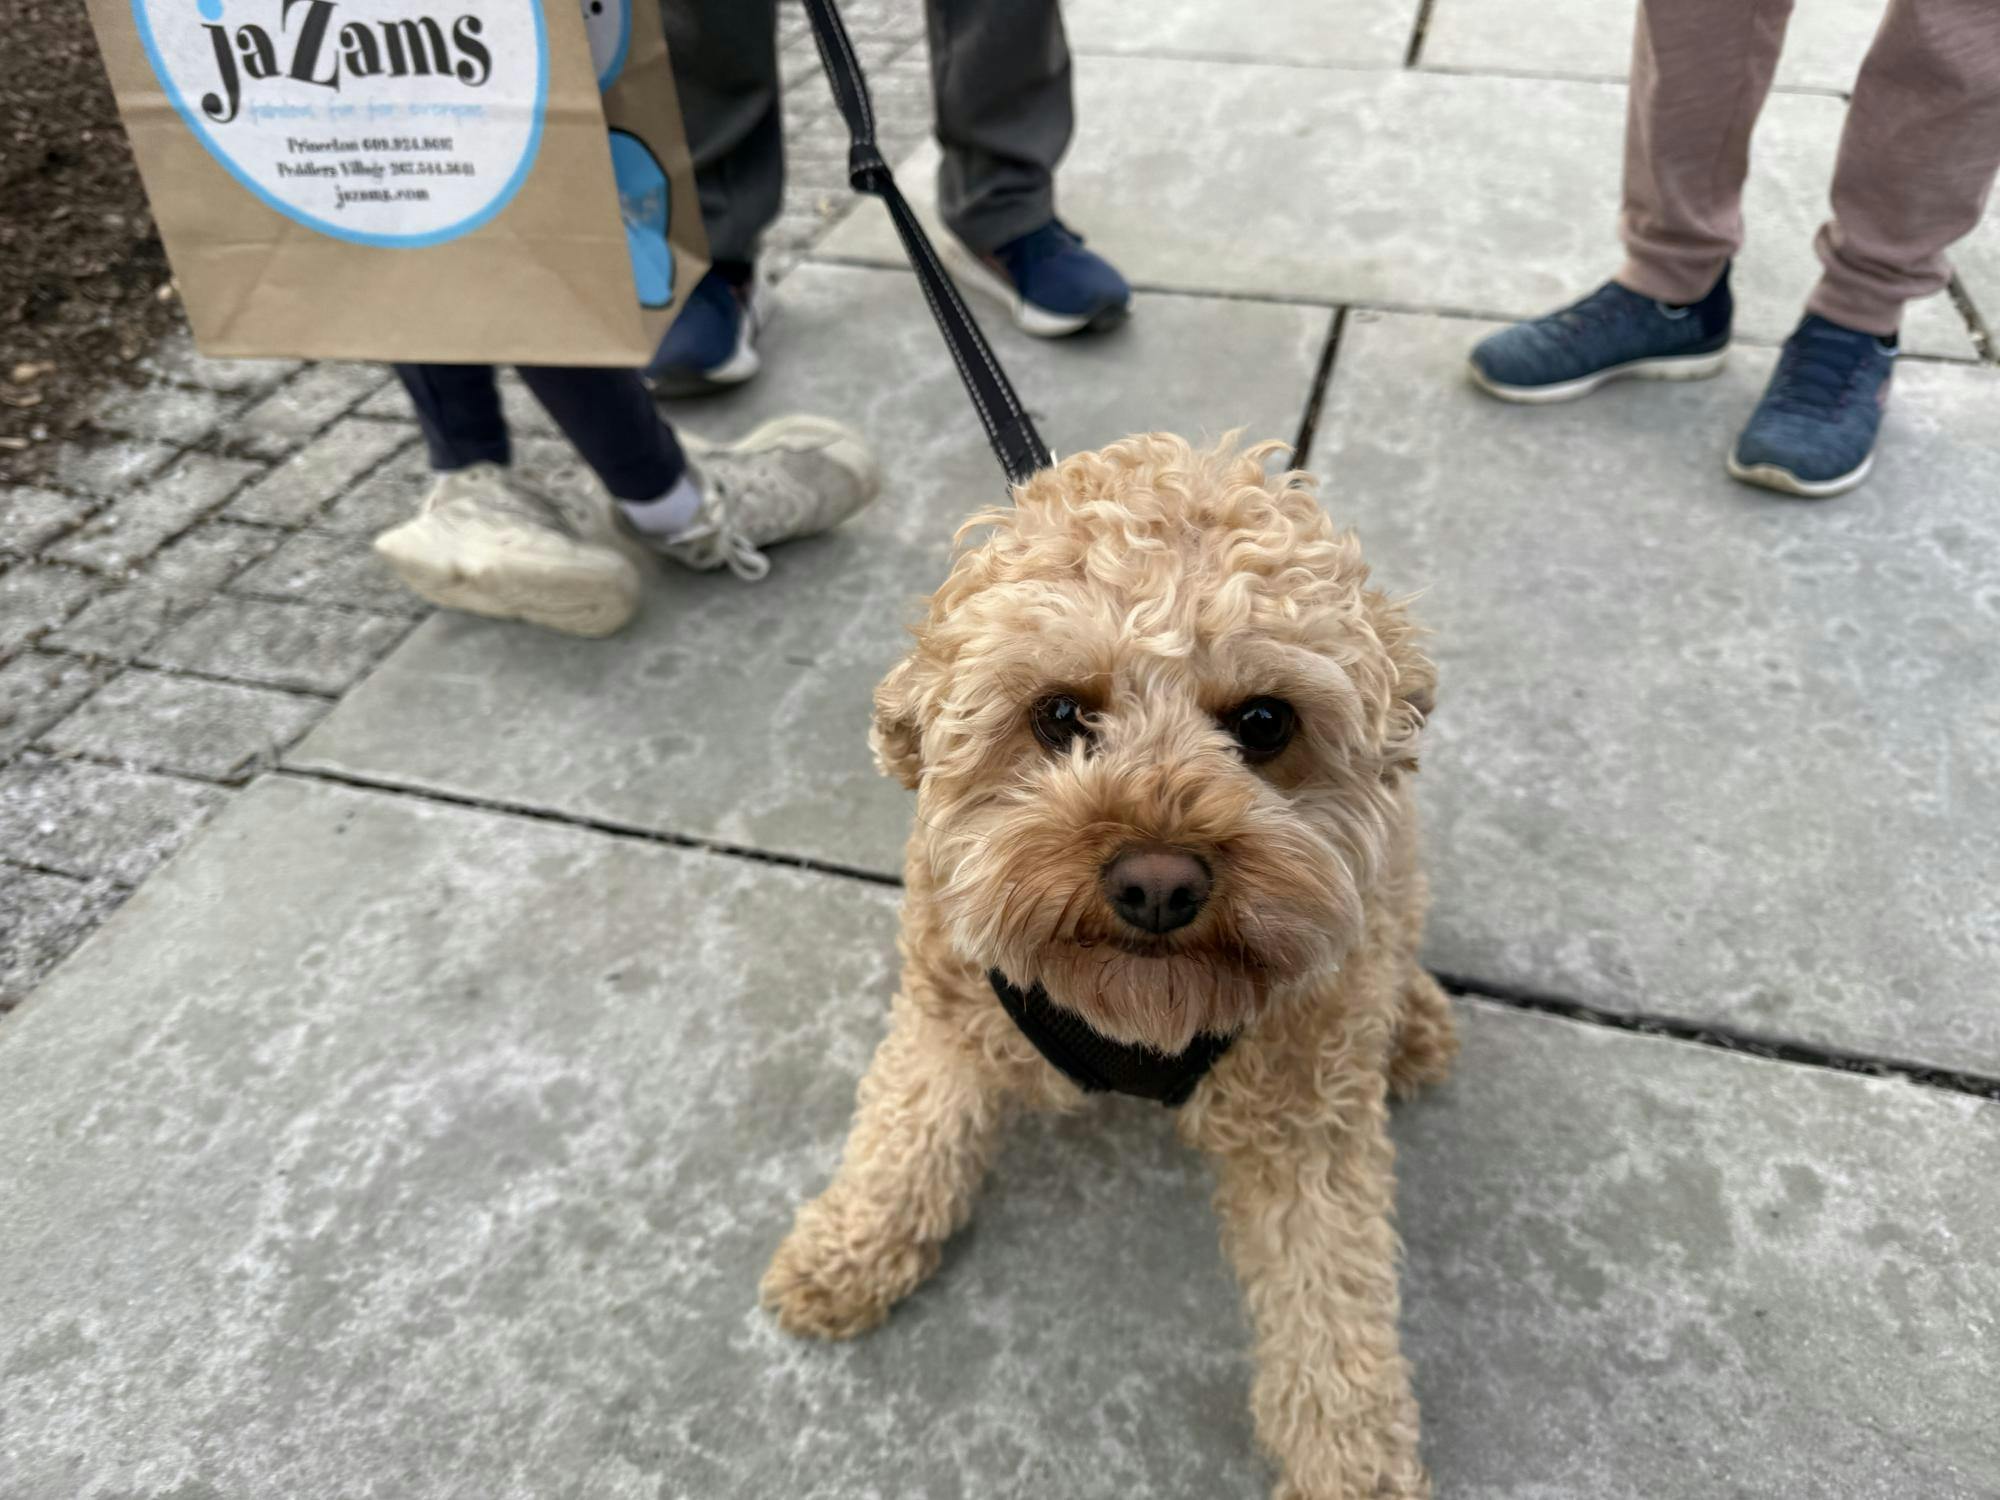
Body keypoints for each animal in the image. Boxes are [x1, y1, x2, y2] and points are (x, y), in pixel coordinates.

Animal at [760, 428, 1456, 1496]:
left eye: (1265, 722)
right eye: (1059, 715)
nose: (1157, 883)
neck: (1137, 1019)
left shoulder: (1309, 1125)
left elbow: (1333, 1307)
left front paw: (1352, 1465)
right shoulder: (948, 1017)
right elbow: (905, 1136)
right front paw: (849, 1250)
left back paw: (1412, 1025)